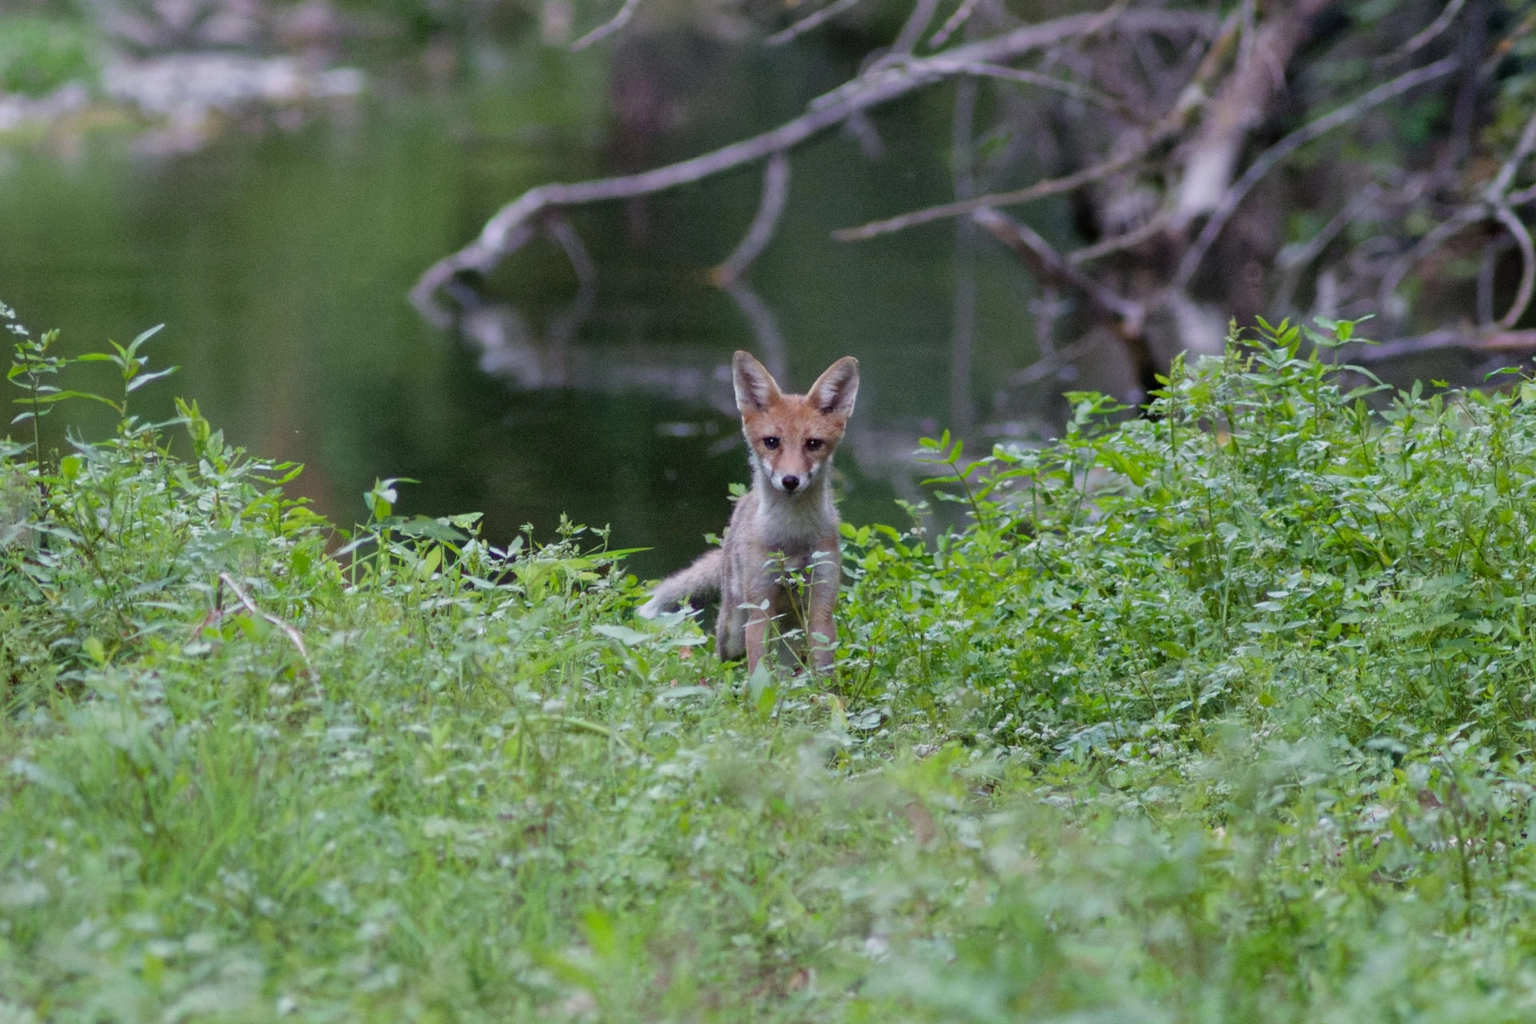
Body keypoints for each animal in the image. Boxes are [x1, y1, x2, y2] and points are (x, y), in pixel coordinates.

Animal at [639, 351, 860, 674]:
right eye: (772, 442)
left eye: (813, 444)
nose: (790, 480)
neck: (792, 536)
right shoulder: (760, 609)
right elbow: (760, 675)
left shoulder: (820, 606)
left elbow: (825, 675)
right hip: (733, 631)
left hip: (791, 632)